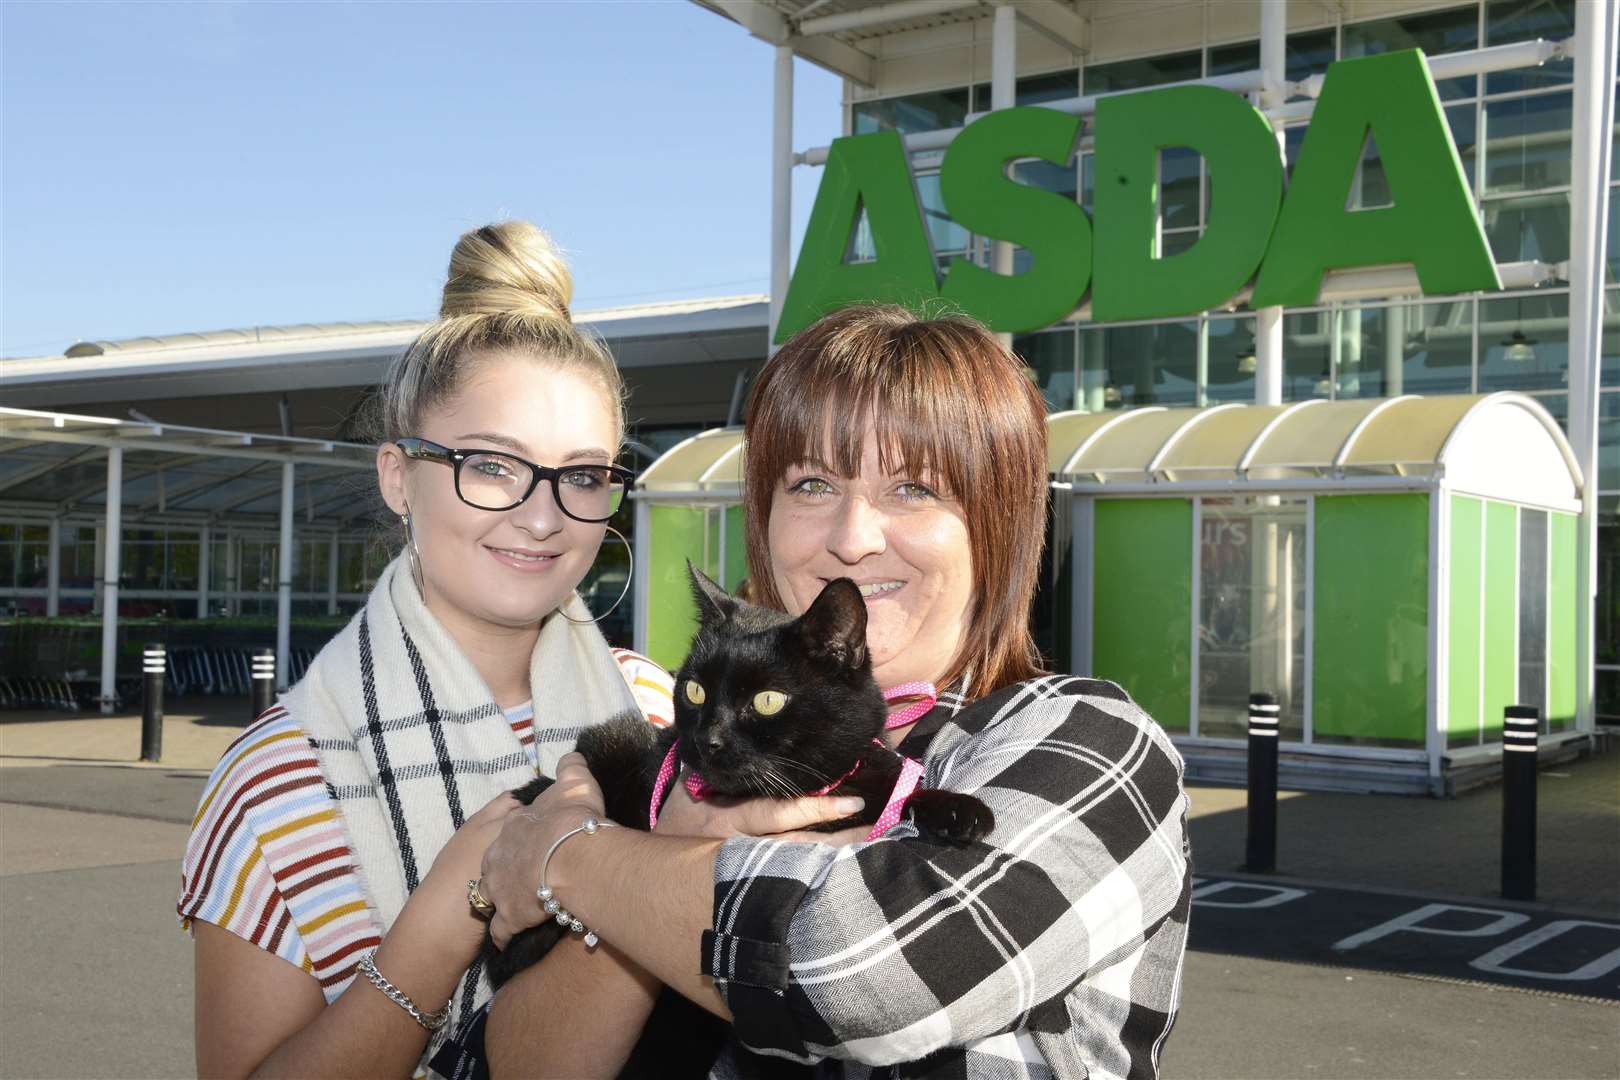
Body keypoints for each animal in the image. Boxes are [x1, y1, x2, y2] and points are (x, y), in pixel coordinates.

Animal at [473, 569, 991, 1075]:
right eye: (694, 689)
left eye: (767, 701)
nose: (708, 740)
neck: (806, 792)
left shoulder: (871, 781)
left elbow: (898, 788)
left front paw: (956, 808)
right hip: (611, 740)